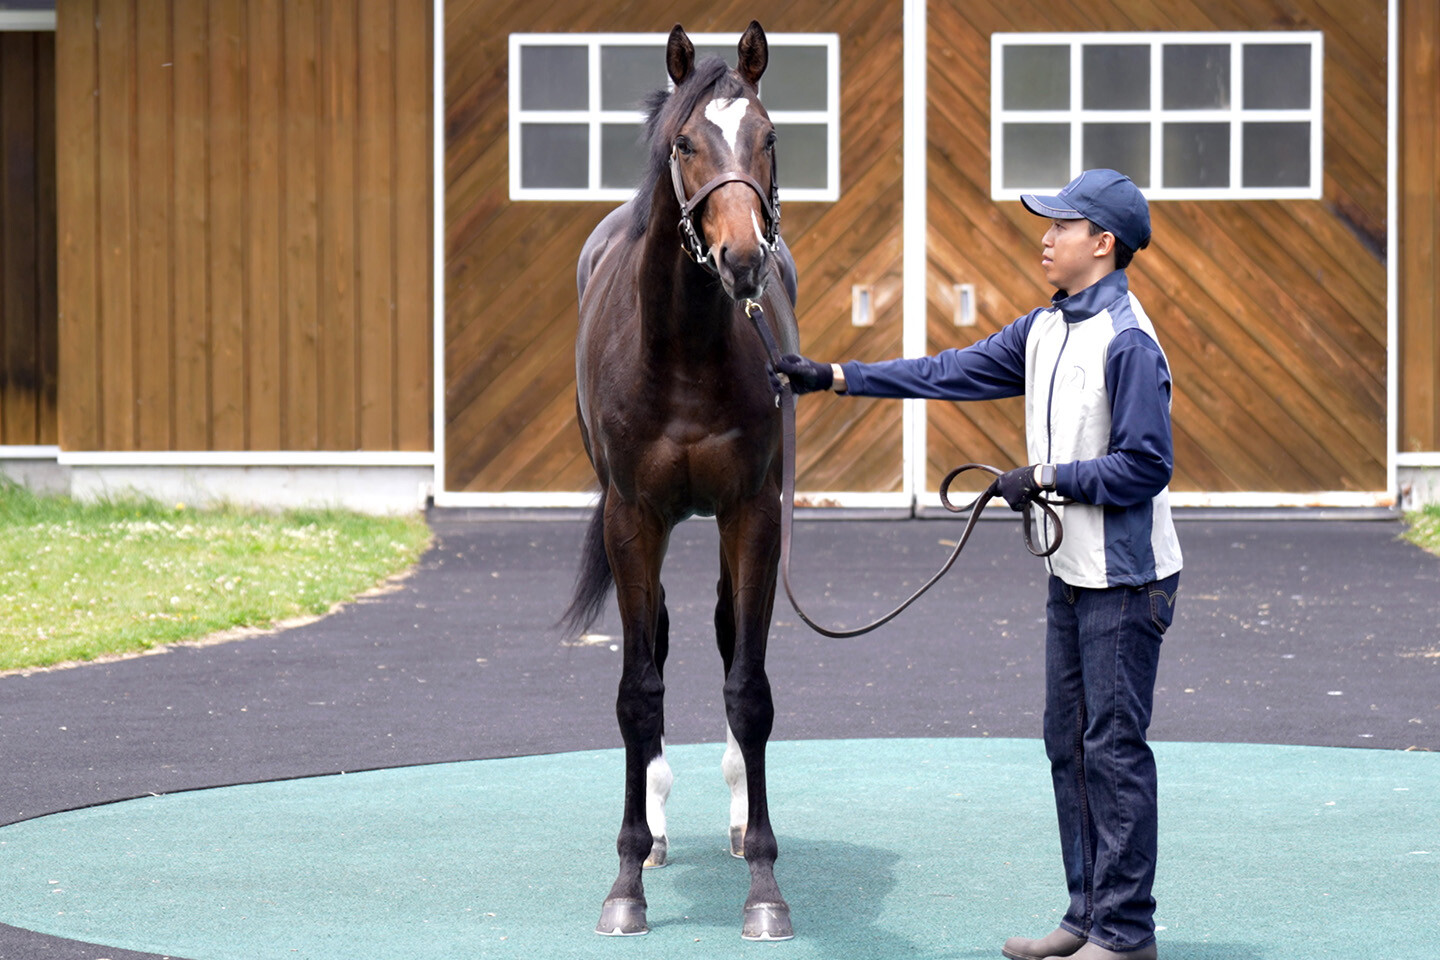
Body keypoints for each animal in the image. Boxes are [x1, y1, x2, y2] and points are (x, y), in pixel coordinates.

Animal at [562, 21, 800, 942]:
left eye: (768, 138)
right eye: (686, 143)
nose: (740, 259)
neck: (687, 347)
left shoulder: (753, 514)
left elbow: (751, 688)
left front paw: (765, 884)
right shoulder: (634, 518)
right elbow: (638, 692)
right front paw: (627, 880)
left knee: (732, 636)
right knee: (657, 642)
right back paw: (658, 831)